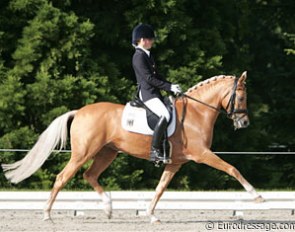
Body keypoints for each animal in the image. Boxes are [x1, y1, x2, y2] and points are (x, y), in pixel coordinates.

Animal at [0, 70, 264, 223]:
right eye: (241, 97)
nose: (244, 123)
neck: (197, 114)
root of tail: (80, 111)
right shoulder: (202, 154)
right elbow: (232, 168)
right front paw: (257, 196)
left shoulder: (175, 163)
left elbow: (160, 188)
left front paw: (151, 215)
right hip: (84, 152)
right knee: (63, 177)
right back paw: (47, 214)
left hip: (107, 153)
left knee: (90, 175)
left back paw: (108, 209)